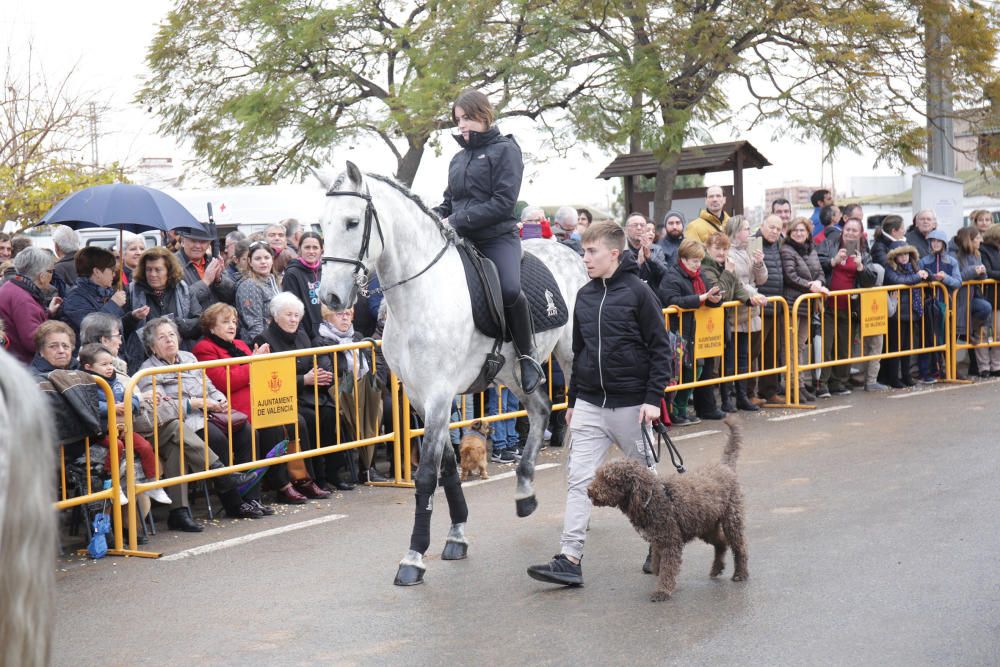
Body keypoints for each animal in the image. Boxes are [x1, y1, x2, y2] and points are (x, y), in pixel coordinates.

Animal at [316, 164, 588, 588]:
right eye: (321, 225)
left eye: (352, 221)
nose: (329, 298)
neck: (419, 294)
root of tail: (568, 252)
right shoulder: (419, 396)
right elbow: (447, 467)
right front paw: (457, 535)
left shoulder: (441, 394)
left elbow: (428, 475)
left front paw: (413, 557)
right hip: (512, 373)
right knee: (542, 409)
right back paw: (525, 493)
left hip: (571, 356)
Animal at [588, 414, 748, 604]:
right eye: (598, 475)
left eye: (609, 480)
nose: (589, 491)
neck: (651, 497)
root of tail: (725, 466)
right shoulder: (658, 541)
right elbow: (658, 565)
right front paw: (660, 578)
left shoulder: (670, 540)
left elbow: (667, 568)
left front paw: (662, 591)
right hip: (705, 525)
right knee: (721, 542)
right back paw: (717, 568)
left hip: (731, 520)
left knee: (739, 547)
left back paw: (740, 574)